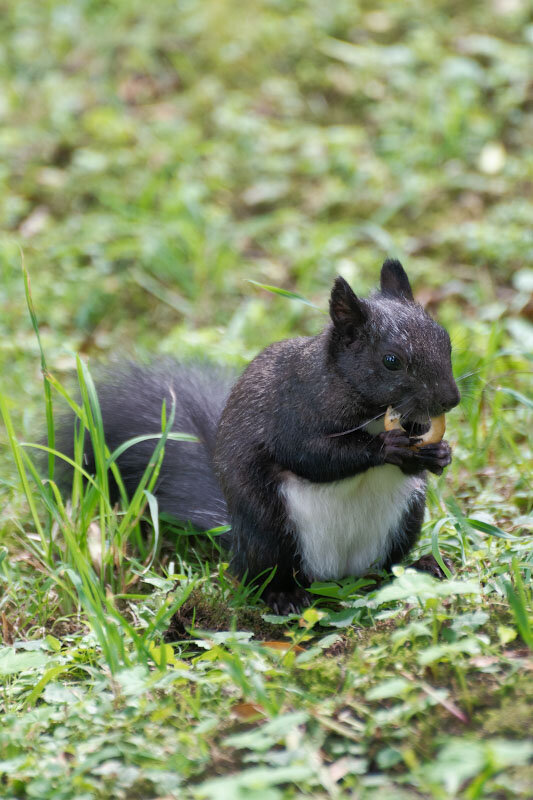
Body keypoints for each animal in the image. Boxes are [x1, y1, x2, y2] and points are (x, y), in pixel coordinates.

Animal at [58, 258, 458, 612]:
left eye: (447, 341)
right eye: (391, 361)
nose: (451, 400)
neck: (368, 408)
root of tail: (338, 574)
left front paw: (439, 455)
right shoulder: (292, 412)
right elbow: (314, 457)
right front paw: (386, 447)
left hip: (406, 520)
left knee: (387, 567)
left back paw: (421, 567)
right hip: (270, 532)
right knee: (263, 576)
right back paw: (284, 597)